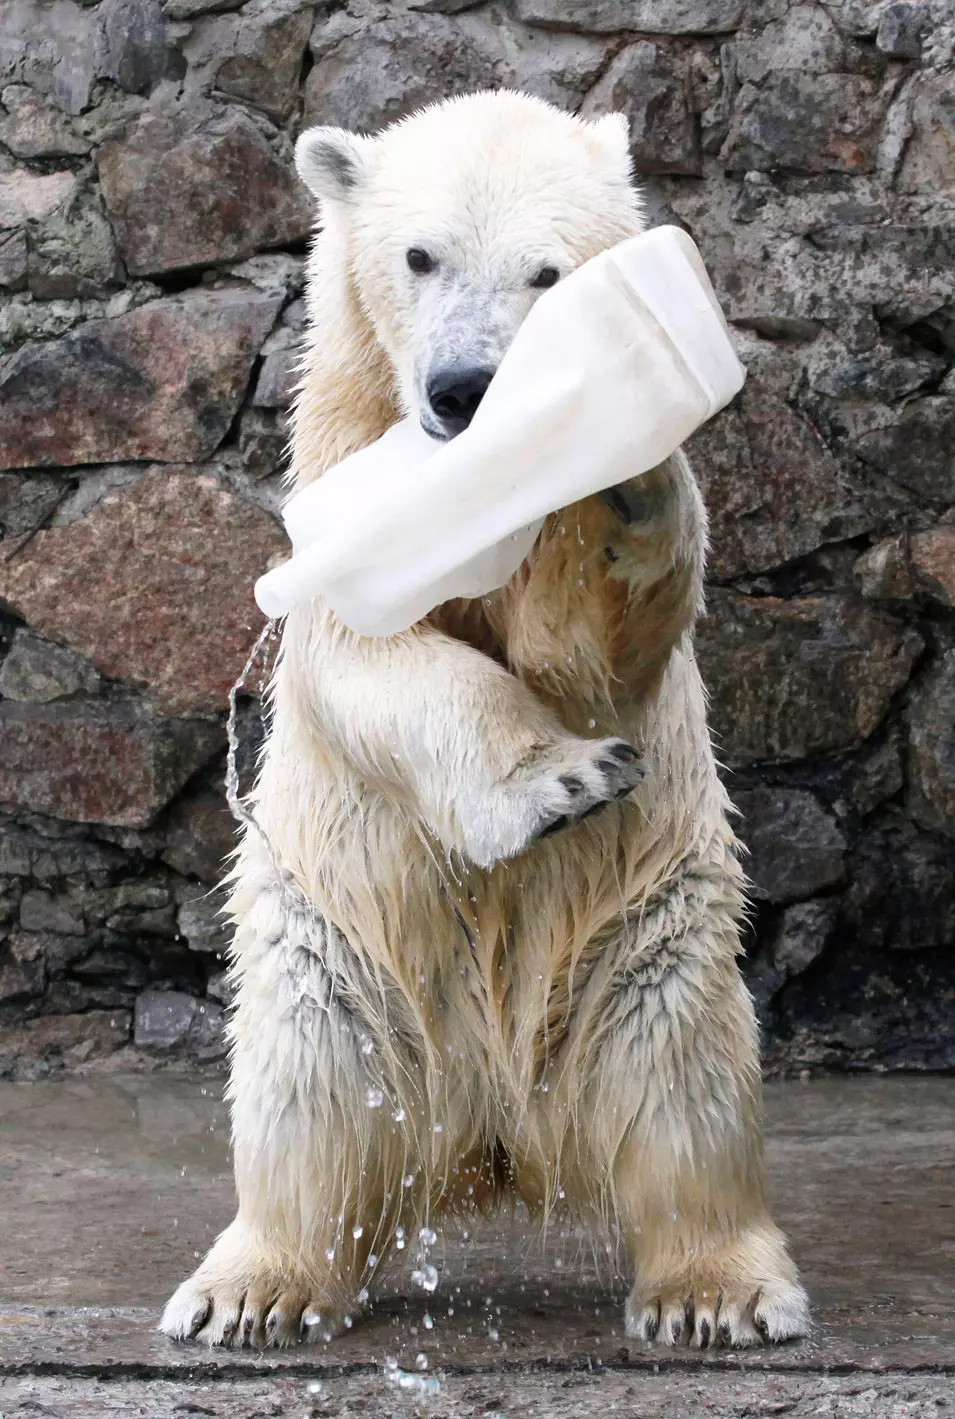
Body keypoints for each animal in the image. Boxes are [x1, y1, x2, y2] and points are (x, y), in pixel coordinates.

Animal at [161, 88, 806, 1350]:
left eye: (548, 273)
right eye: (419, 257)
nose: (463, 390)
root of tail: (490, 1142)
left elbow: (585, 652)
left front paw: (630, 467)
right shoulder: (341, 452)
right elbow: (368, 654)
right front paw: (558, 784)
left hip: (649, 942)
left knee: (686, 1099)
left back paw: (715, 1292)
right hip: (335, 951)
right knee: (305, 1106)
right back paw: (249, 1288)